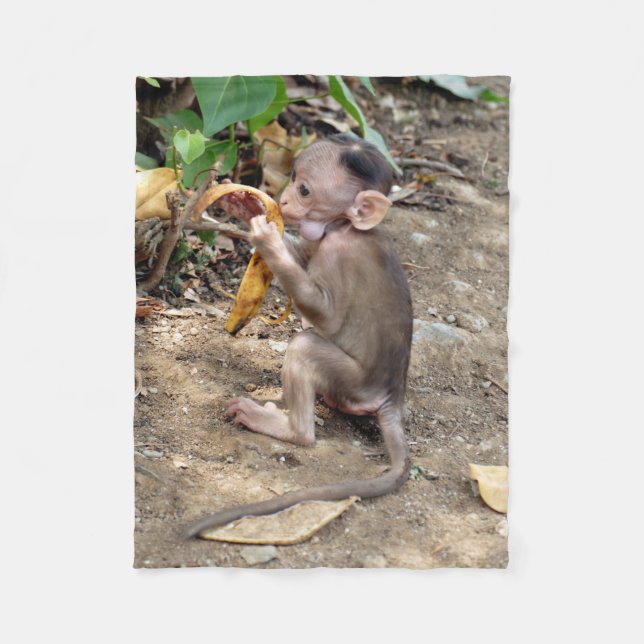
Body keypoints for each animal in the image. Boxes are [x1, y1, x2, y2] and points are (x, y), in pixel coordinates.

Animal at [185, 133, 413, 538]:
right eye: (292, 178)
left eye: (305, 189)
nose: (286, 199)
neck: (345, 227)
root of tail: (391, 395)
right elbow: (303, 255)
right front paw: (243, 204)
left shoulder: (340, 253)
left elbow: (327, 316)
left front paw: (267, 239)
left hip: (355, 384)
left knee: (306, 347)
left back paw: (289, 428)